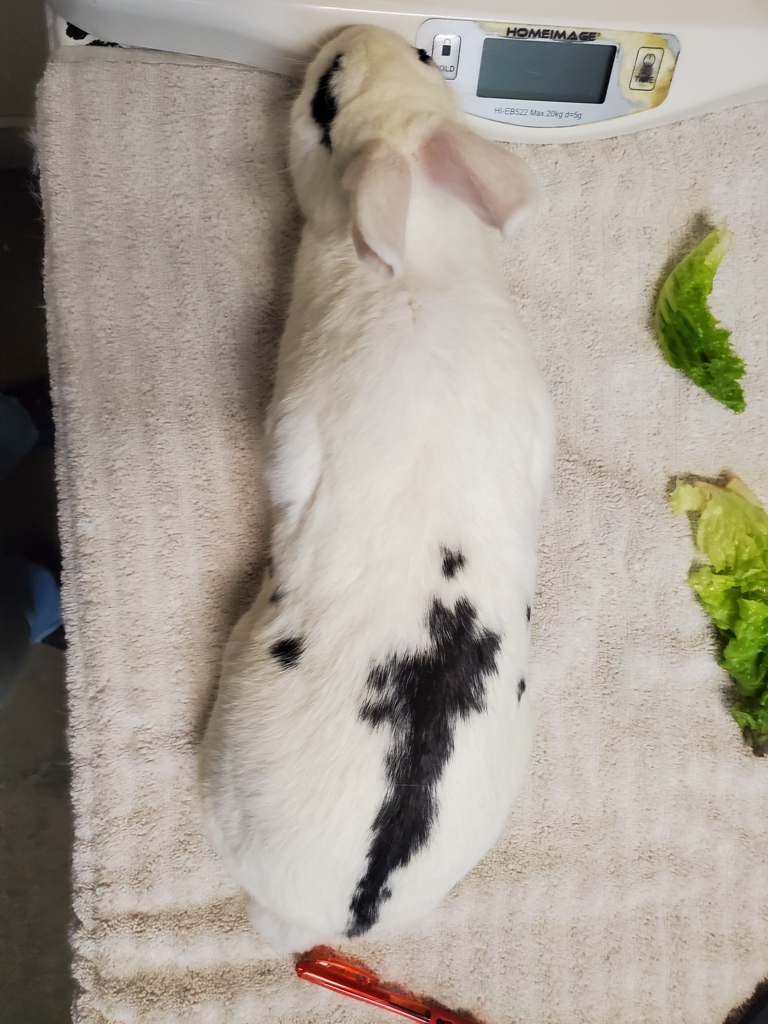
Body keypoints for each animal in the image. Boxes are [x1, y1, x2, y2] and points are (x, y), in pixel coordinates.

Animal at [199, 24, 555, 952]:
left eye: (325, 104)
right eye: (432, 60)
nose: (347, 37)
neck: (416, 254)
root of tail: (338, 914)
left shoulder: (296, 429)